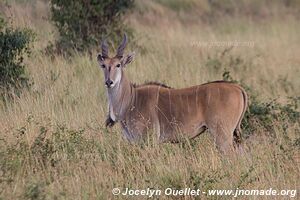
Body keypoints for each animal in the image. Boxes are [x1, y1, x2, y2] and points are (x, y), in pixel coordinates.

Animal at [97, 34, 247, 153]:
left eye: (118, 65)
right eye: (103, 65)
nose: (109, 82)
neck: (132, 99)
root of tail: (237, 87)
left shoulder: (149, 141)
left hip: (222, 136)